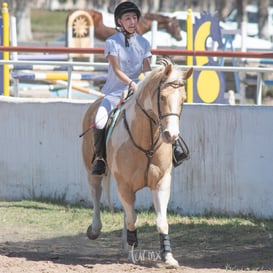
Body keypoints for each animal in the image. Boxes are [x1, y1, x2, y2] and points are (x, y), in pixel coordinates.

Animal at [81, 58, 191, 266]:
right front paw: (132, 254)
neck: (145, 139)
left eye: (183, 100)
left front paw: (168, 257)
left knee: (126, 211)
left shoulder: (161, 183)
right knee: (96, 193)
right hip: (93, 172)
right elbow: (133, 219)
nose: (171, 136)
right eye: (162, 97)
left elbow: (161, 221)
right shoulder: (124, 184)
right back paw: (95, 229)